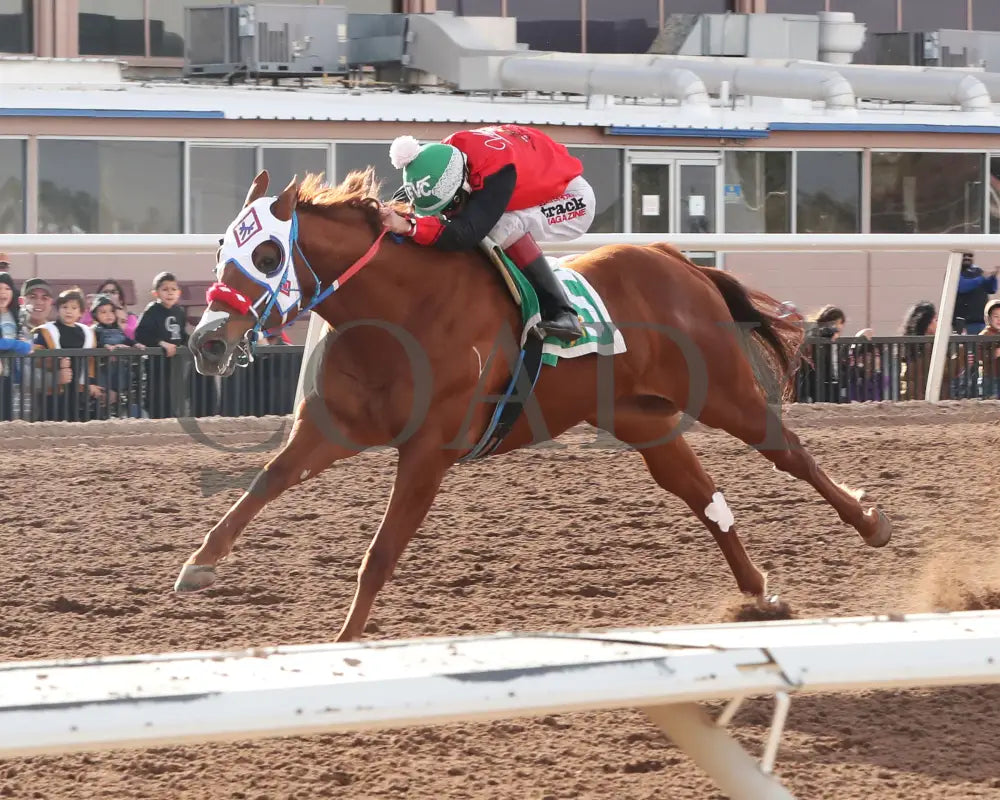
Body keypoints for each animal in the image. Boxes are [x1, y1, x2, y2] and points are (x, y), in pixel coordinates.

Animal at [178, 170, 892, 644]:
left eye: (267, 252)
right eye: (220, 248)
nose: (207, 341)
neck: (398, 313)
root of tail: (678, 261)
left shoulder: (428, 452)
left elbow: (379, 554)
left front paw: (344, 648)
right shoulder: (332, 427)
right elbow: (265, 481)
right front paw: (198, 565)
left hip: (721, 392)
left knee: (789, 452)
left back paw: (870, 523)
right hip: (641, 417)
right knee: (702, 494)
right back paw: (758, 594)